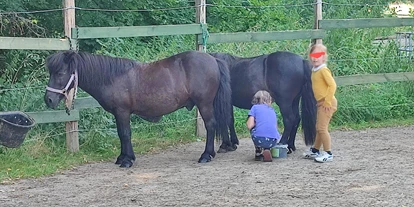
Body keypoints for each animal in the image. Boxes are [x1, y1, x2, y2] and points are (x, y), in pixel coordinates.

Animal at [46, 51, 233, 167]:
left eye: (60, 73)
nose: (48, 99)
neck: (112, 77)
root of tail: (213, 59)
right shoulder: (118, 114)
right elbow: (121, 135)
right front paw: (122, 157)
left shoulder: (122, 112)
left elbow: (125, 134)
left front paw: (127, 160)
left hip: (205, 104)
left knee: (210, 126)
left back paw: (206, 155)